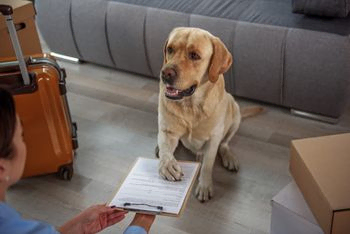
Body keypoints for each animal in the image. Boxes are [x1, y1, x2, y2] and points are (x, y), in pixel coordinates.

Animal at [157, 27, 262, 201]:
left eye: (194, 55)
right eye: (170, 49)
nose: (165, 73)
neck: (191, 105)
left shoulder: (213, 139)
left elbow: (207, 164)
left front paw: (204, 186)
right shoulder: (168, 131)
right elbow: (166, 150)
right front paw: (167, 164)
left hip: (235, 112)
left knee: (224, 144)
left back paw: (228, 157)